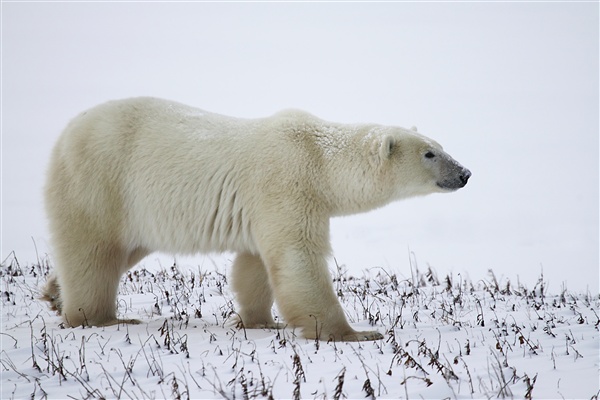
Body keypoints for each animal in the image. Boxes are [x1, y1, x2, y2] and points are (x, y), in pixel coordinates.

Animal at [42, 96, 472, 340]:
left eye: (440, 145)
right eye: (430, 153)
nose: (465, 173)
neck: (319, 158)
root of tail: (67, 132)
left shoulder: (266, 206)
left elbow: (255, 265)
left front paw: (261, 321)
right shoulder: (287, 185)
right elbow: (299, 261)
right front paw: (355, 333)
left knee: (123, 250)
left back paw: (52, 292)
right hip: (103, 182)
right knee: (94, 254)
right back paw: (97, 317)